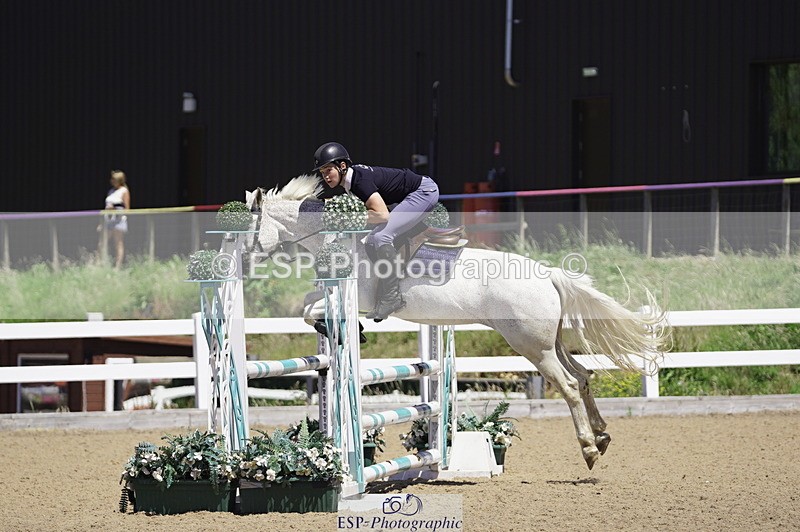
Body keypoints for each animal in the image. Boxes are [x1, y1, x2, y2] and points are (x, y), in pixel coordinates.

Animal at [247, 174, 668, 470]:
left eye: (248, 228)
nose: (246, 264)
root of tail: (549, 274)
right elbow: (308, 305)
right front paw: (342, 331)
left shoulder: (356, 296)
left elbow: (310, 309)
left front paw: (346, 331)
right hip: (551, 343)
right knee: (581, 376)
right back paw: (602, 436)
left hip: (531, 345)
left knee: (566, 384)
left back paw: (588, 449)